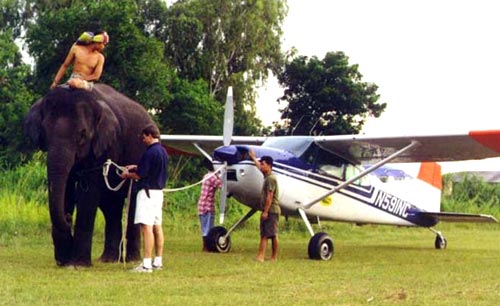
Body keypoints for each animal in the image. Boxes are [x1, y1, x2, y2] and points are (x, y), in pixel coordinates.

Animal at [23, 83, 156, 266]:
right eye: (44, 131)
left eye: (82, 134)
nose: (68, 217)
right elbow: (67, 187)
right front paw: (64, 262)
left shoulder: (105, 145)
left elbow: (88, 192)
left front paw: (77, 265)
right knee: (111, 207)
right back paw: (108, 259)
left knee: (132, 203)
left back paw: (130, 259)